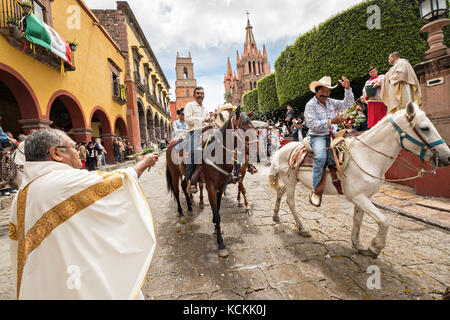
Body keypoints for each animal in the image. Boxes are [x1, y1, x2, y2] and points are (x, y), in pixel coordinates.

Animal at [270, 102, 450, 258]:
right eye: (425, 128)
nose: (447, 156)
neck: (367, 156)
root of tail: (281, 149)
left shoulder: (364, 197)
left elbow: (358, 220)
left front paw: (357, 244)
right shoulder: (358, 196)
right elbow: (384, 221)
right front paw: (375, 247)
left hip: (292, 181)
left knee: (280, 191)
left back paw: (276, 216)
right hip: (291, 181)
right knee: (291, 202)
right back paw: (301, 228)